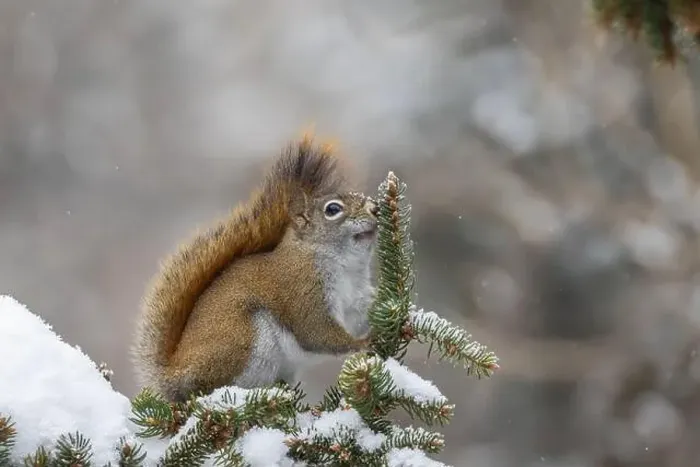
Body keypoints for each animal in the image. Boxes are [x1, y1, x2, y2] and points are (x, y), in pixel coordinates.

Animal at [131, 136, 379, 402]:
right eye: (333, 209)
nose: (376, 208)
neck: (346, 267)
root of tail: (174, 377)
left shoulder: (357, 300)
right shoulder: (302, 290)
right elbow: (317, 332)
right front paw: (363, 343)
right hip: (242, 338)